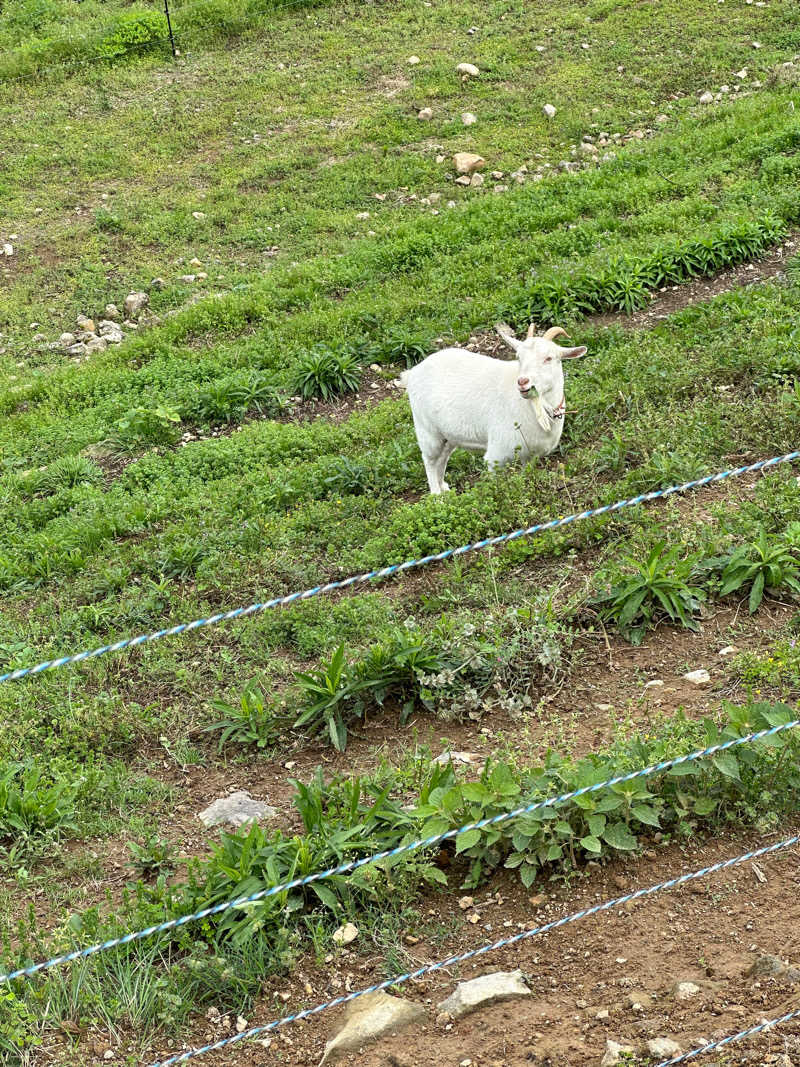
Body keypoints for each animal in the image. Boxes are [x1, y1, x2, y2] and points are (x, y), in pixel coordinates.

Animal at [403, 322, 584, 492]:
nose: (522, 382)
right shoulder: (497, 456)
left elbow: (526, 476)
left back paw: (444, 488)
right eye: (519, 357)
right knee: (429, 460)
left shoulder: (529, 455)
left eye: (549, 358)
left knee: (442, 458)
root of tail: (412, 372)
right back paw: (437, 495)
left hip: (447, 434)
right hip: (426, 429)